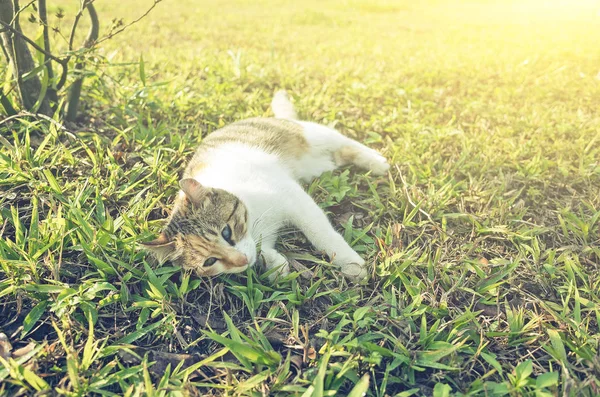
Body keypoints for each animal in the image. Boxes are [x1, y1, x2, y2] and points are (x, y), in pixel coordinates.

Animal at [141, 91, 390, 280]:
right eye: (210, 261)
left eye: (226, 232)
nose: (241, 260)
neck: (254, 219)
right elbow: (264, 252)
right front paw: (274, 264)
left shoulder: (293, 198)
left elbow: (320, 232)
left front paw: (349, 262)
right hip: (319, 165)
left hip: (313, 136)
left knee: (346, 143)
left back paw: (376, 162)